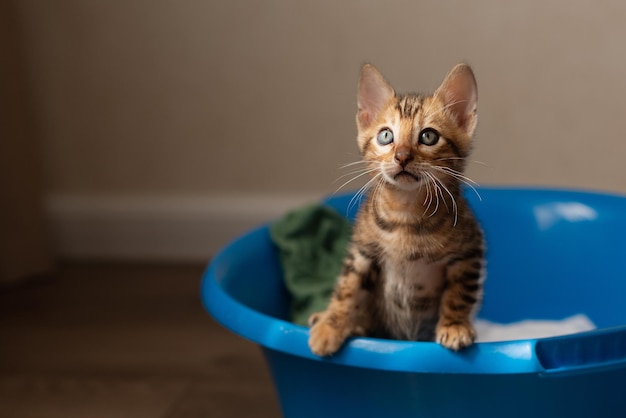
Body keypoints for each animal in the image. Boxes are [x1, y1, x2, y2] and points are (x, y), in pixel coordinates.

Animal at [310, 62, 486, 356]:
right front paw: (330, 325)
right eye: (386, 136)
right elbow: (347, 287)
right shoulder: (362, 251)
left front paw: (454, 326)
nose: (401, 156)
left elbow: (460, 293)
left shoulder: (469, 251)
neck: (406, 213)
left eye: (428, 136)